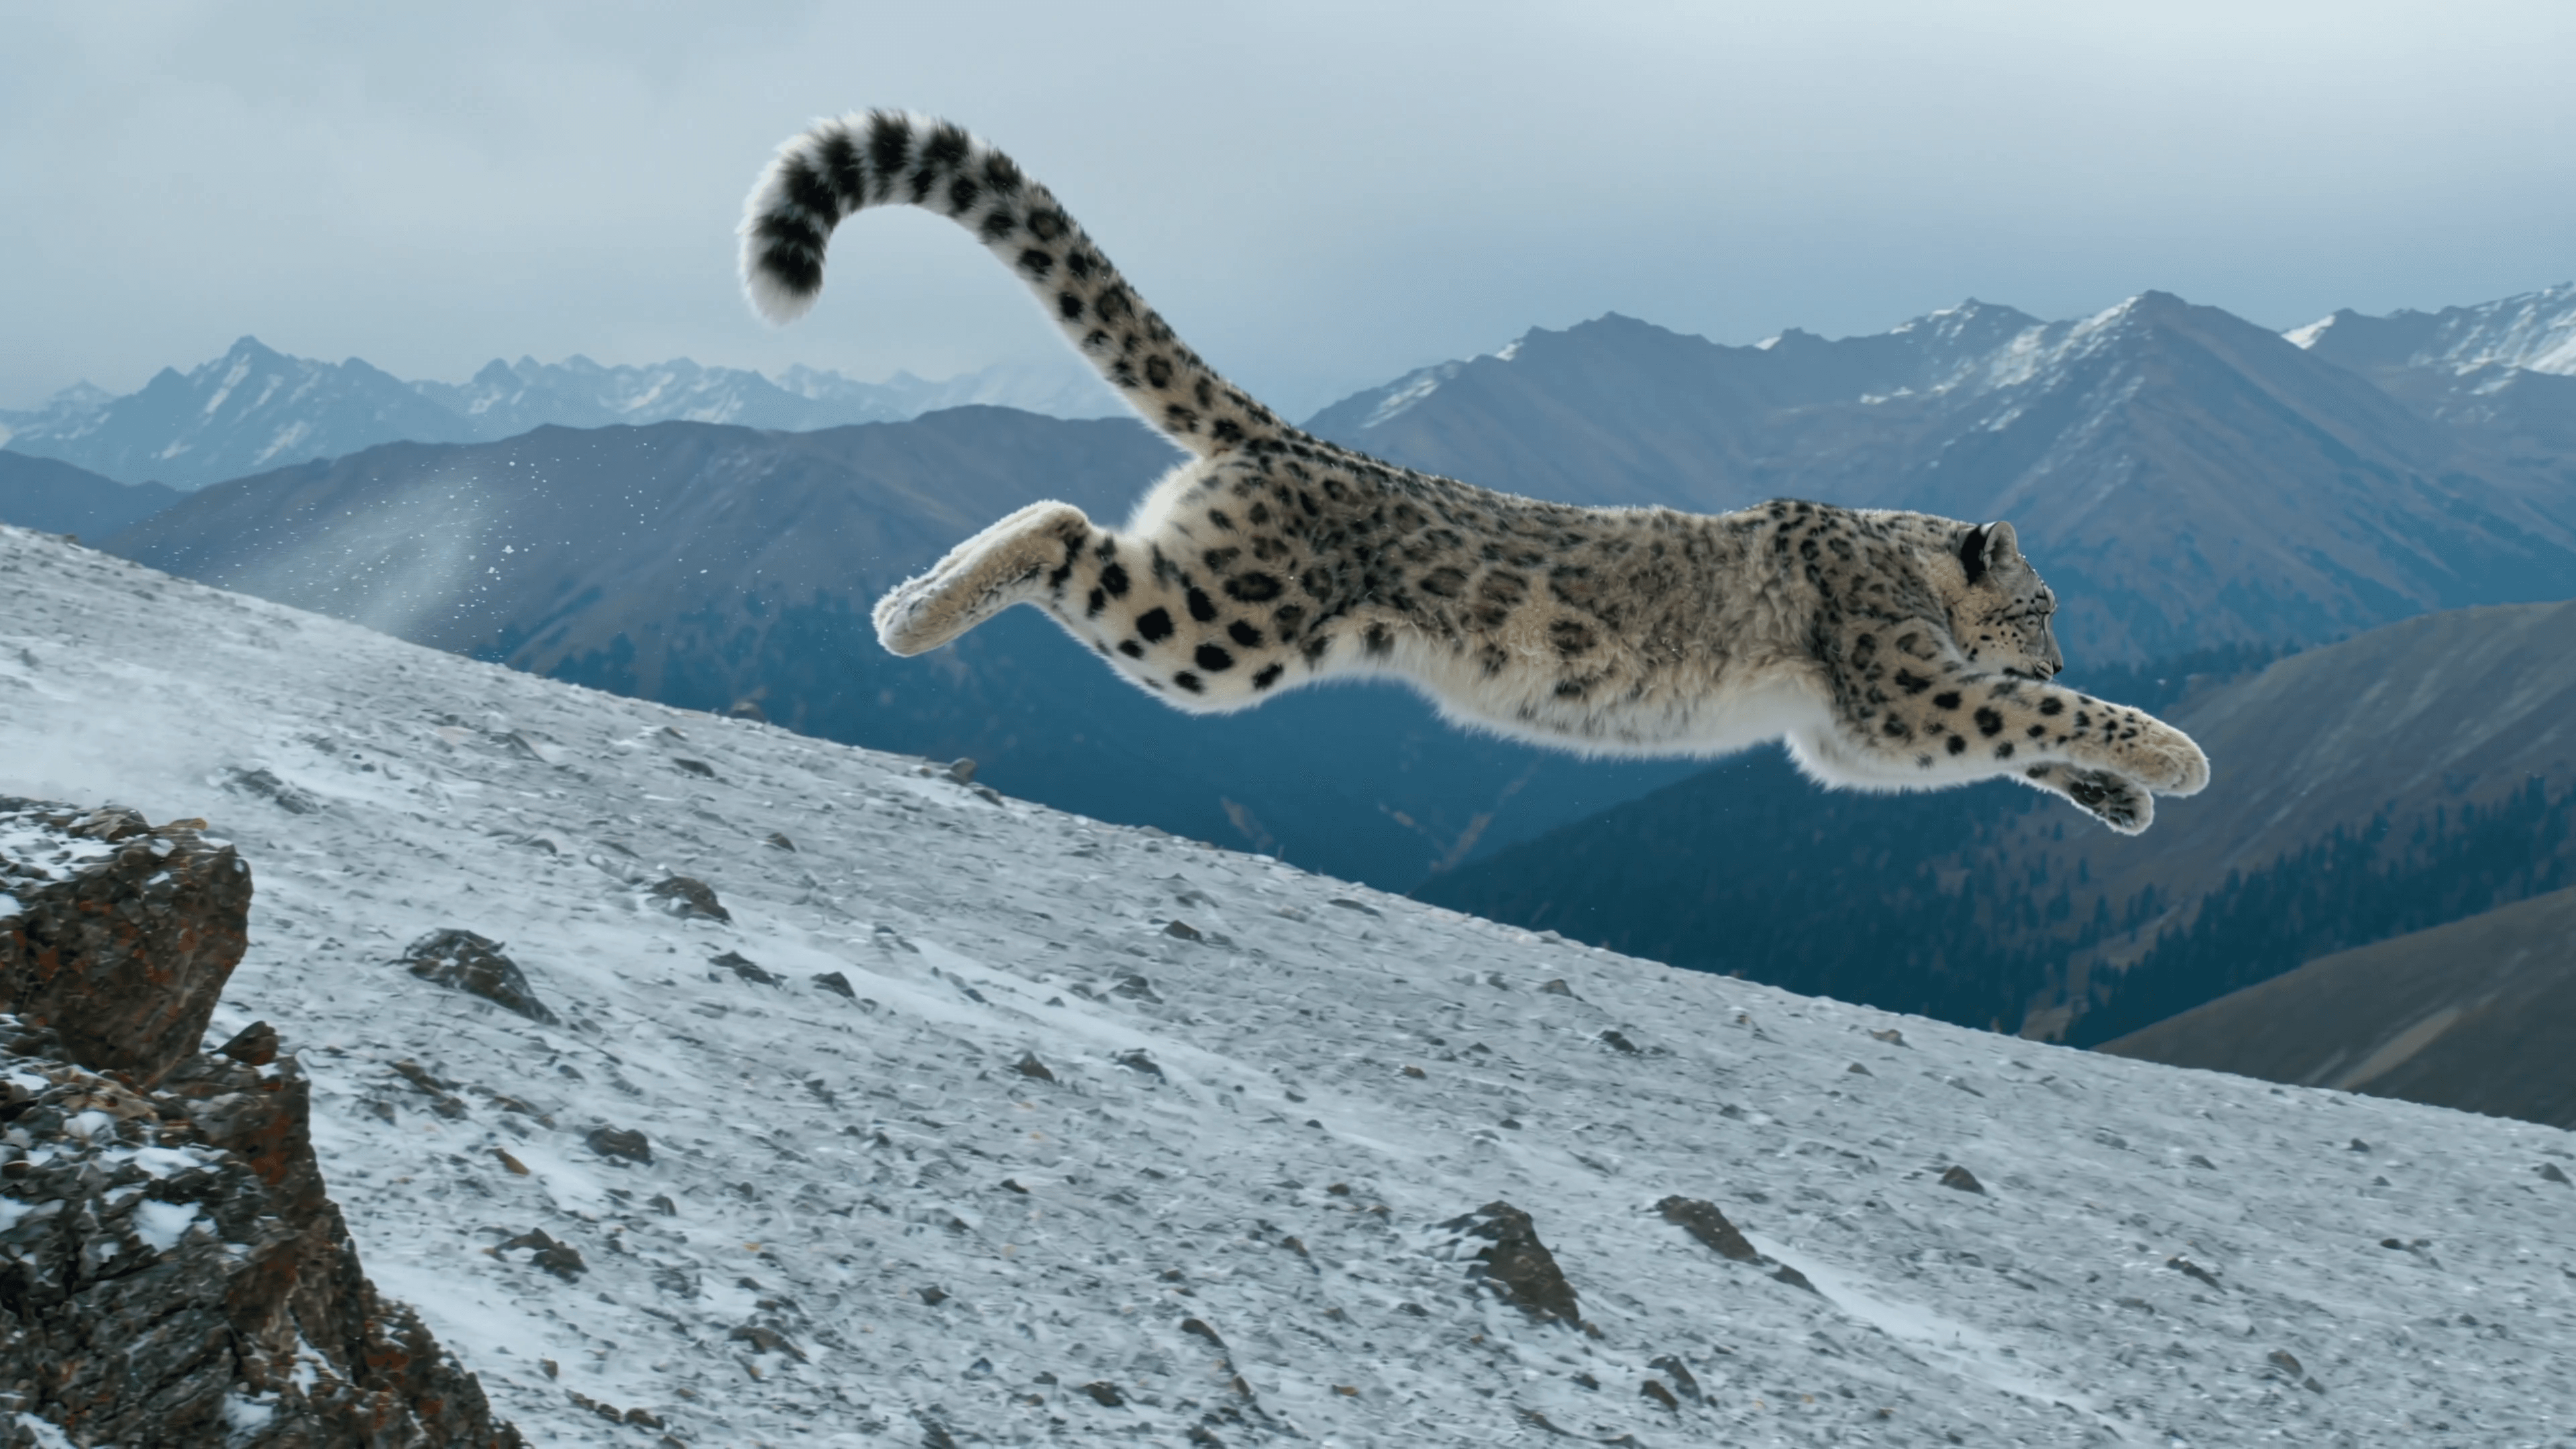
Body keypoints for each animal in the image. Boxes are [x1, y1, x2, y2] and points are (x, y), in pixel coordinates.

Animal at [737, 111, 2209, 834]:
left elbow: (2020, 741)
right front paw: (2171, 754)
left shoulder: (1856, 729)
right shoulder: (1897, 690)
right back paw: (913, 617)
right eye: (2043, 607)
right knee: (1059, 524)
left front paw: (2124, 798)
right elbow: (2023, 721)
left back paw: (903, 601)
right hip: (1220, 632)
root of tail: (1291, 434)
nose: (2059, 646)